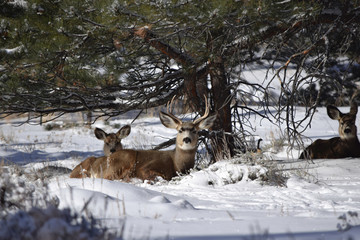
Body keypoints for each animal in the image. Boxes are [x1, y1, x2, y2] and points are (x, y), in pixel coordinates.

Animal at [70, 100, 217, 181]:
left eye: (195, 131)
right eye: (180, 130)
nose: (187, 139)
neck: (177, 163)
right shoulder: (146, 167)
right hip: (124, 160)